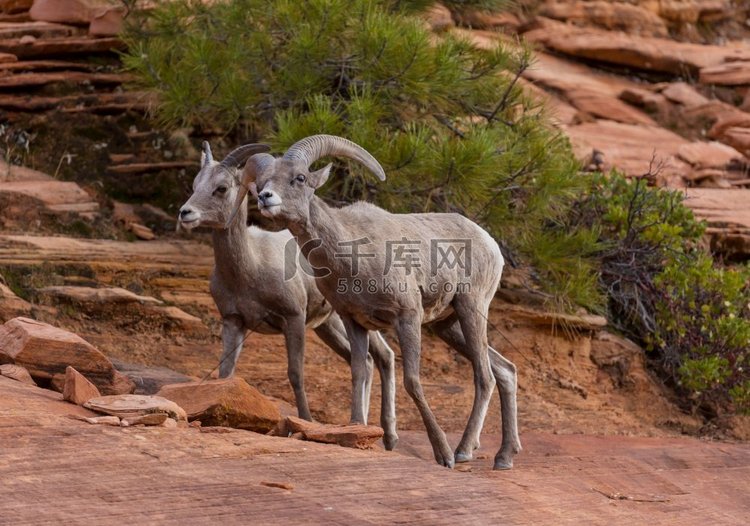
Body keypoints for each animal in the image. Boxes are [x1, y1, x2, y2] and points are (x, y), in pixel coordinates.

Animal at [177, 141, 400, 450]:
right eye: (195, 184)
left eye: (221, 188)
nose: (185, 213)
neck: (250, 267)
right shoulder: (233, 321)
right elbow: (225, 373)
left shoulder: (292, 319)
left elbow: (296, 374)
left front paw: (303, 423)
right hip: (329, 326)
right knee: (367, 361)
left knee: (384, 356)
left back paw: (388, 436)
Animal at [231, 135, 524, 470]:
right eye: (262, 182)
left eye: (300, 178)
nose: (265, 198)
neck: (352, 255)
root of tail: (490, 243)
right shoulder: (354, 322)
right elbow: (359, 373)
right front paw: (357, 430)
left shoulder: (408, 316)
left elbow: (412, 381)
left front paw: (443, 455)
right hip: (447, 326)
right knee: (504, 370)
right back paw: (504, 456)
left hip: (470, 309)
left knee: (485, 376)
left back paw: (463, 451)